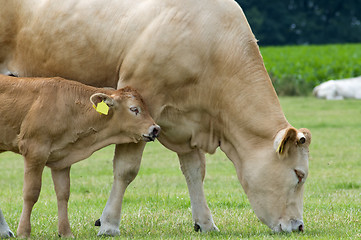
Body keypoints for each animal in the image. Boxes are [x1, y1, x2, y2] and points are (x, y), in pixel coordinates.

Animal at [0, 0, 310, 236]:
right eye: (299, 175)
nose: (298, 226)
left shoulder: (189, 124)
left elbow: (195, 172)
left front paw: (205, 222)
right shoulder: (141, 101)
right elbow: (126, 170)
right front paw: (109, 224)